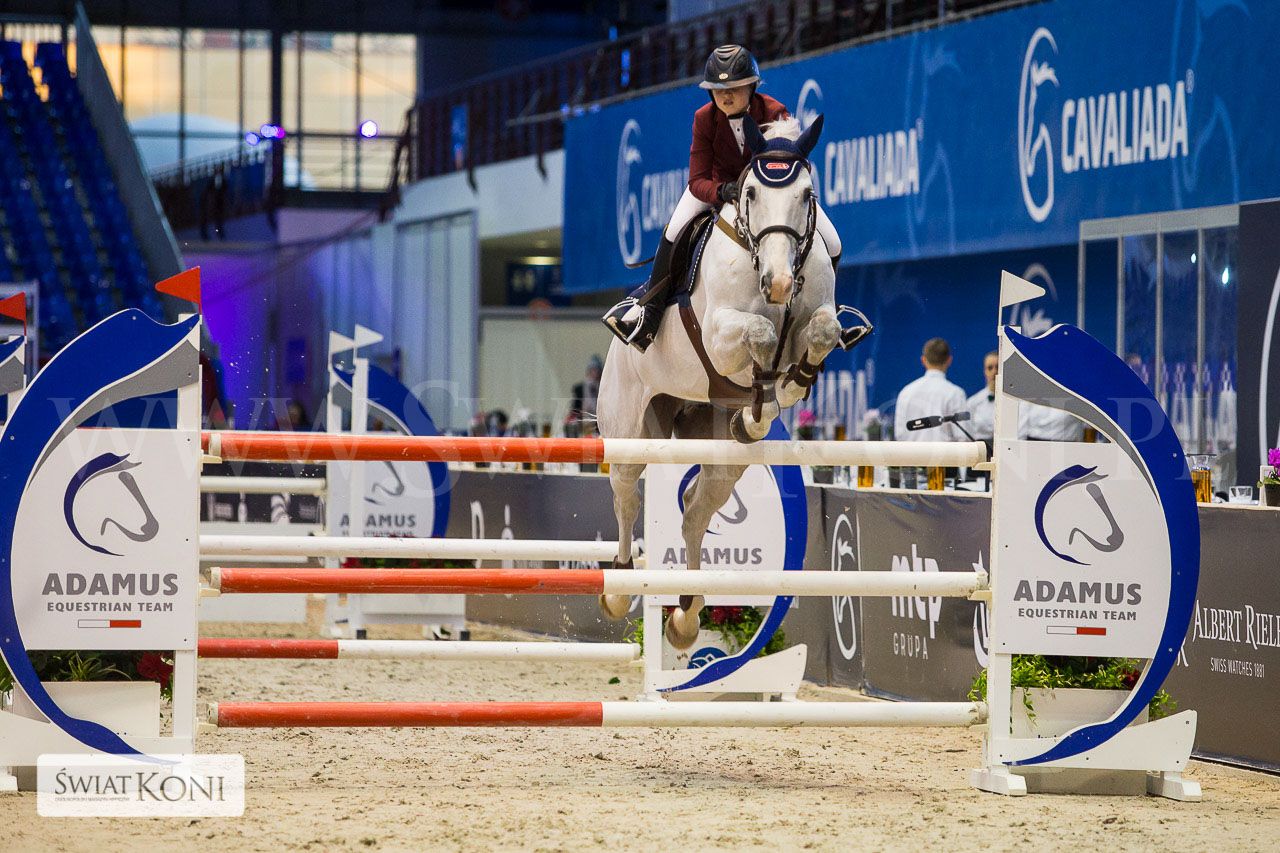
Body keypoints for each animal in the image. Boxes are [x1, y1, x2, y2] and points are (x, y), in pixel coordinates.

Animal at [596, 115, 871, 649]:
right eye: (750, 193)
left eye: (807, 194)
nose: (779, 284)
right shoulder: (720, 336)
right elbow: (759, 334)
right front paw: (763, 396)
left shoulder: (816, 320)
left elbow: (821, 334)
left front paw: (776, 396)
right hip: (630, 429)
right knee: (625, 493)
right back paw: (618, 590)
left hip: (719, 454)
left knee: (695, 511)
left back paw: (687, 615)